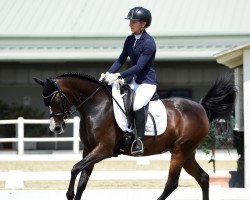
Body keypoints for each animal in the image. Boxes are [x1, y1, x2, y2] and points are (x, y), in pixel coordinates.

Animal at [33, 72, 236, 200]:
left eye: (56, 99)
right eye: (45, 101)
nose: (56, 128)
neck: (96, 106)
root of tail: (201, 107)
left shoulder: (103, 150)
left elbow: (75, 168)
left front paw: (69, 194)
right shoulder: (89, 150)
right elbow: (82, 181)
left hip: (180, 151)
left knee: (171, 184)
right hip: (187, 153)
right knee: (203, 178)